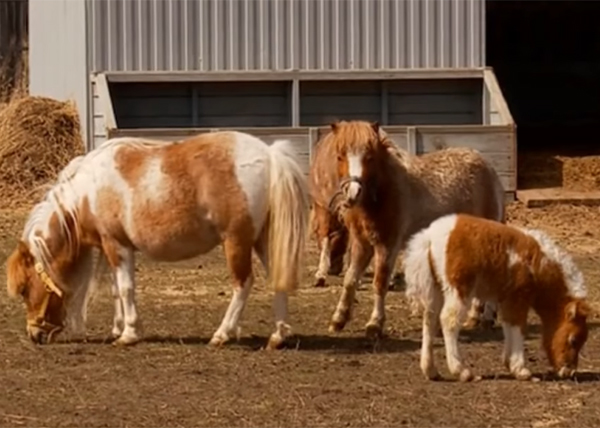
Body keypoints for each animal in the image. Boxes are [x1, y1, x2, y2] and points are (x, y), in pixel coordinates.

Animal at [5, 131, 310, 352]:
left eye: (24, 289)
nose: (34, 334)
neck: (87, 192)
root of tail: (270, 155)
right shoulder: (112, 247)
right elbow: (116, 290)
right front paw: (119, 328)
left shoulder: (117, 245)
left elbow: (126, 289)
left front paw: (128, 334)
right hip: (261, 240)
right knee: (277, 279)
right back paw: (277, 336)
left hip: (236, 241)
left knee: (243, 284)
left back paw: (221, 334)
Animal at [310, 120, 506, 338]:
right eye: (340, 155)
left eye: (369, 156)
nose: (353, 193)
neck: (385, 192)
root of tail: (489, 169)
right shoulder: (362, 243)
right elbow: (350, 279)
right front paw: (338, 319)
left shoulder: (388, 245)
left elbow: (380, 282)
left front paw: (374, 324)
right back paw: (476, 318)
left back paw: (484, 318)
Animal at [404, 214, 592, 382]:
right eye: (573, 340)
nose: (569, 372)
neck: (537, 265)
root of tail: (428, 237)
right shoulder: (518, 298)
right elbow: (519, 328)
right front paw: (520, 369)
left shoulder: (507, 300)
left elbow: (508, 326)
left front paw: (510, 364)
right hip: (458, 289)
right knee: (448, 320)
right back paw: (462, 372)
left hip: (435, 288)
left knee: (430, 320)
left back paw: (430, 370)